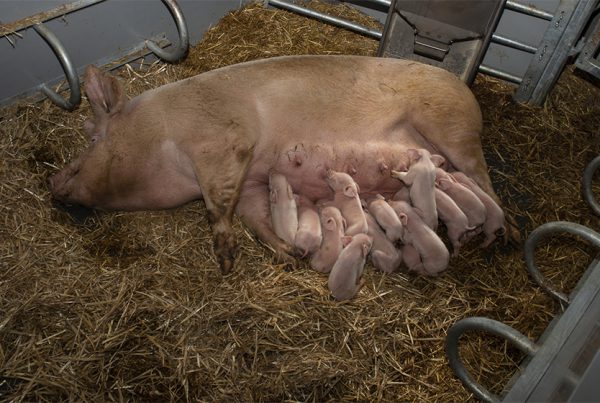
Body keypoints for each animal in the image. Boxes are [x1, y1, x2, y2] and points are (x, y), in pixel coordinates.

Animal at [49, 54, 512, 274]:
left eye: (93, 136)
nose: (54, 183)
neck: (162, 131)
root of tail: (465, 89)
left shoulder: (225, 143)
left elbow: (217, 207)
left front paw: (226, 260)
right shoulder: (252, 179)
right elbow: (253, 216)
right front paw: (289, 255)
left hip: (451, 128)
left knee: (488, 188)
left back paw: (493, 238)